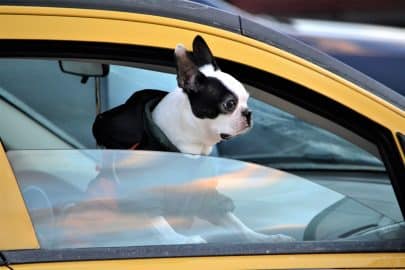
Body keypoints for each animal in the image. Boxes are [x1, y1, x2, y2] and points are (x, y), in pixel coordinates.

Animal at [88, 35, 292, 245]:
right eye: (229, 104)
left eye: (247, 99)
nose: (248, 113)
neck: (193, 148)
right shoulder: (142, 191)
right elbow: (159, 223)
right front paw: (181, 240)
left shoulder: (205, 195)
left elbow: (235, 222)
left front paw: (263, 238)